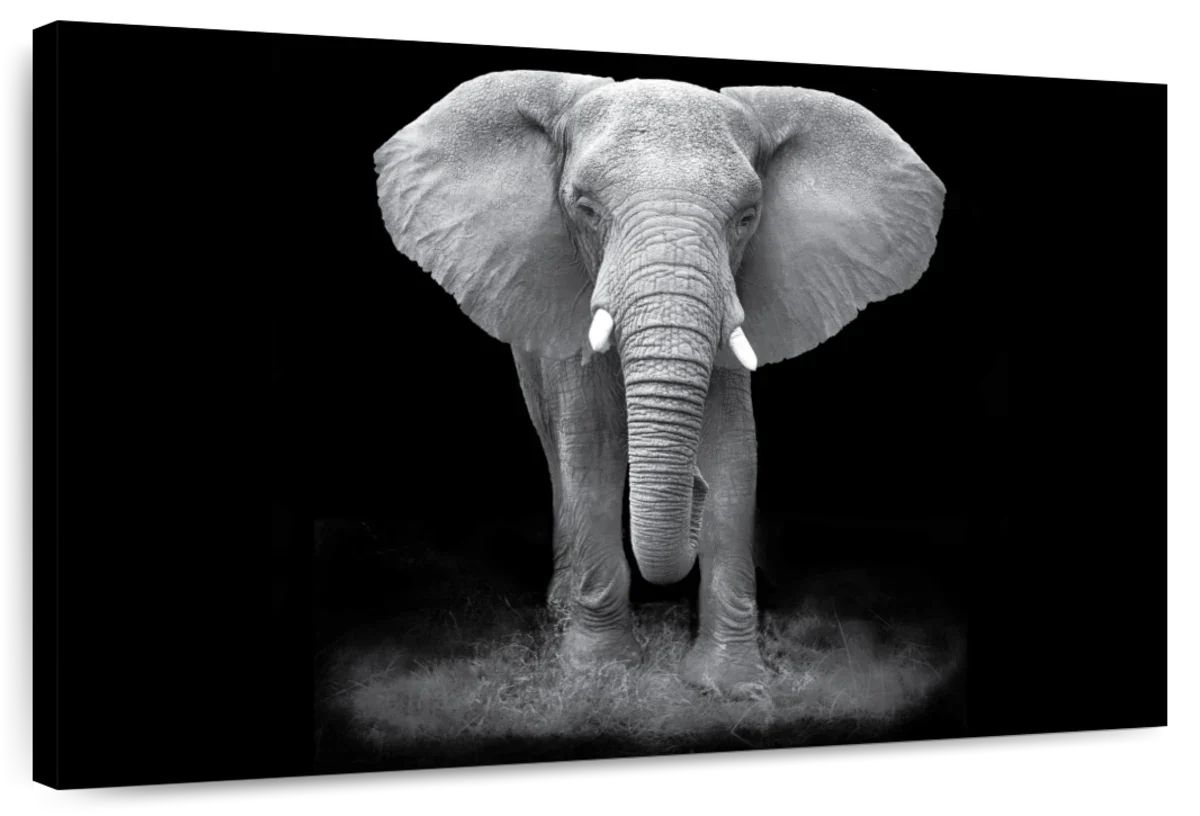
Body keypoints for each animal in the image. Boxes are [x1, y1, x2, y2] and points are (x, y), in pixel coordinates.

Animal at [373, 70, 945, 696]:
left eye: (747, 218)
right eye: (586, 208)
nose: (692, 487)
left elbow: (734, 451)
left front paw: (730, 685)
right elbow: (592, 446)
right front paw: (599, 671)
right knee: (556, 445)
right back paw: (560, 608)